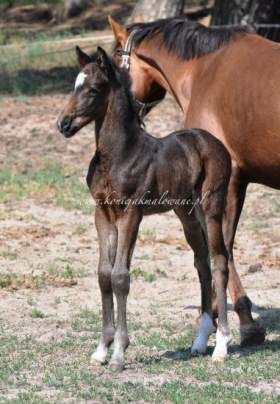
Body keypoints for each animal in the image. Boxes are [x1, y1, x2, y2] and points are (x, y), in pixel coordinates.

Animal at [57, 45, 232, 370]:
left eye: (93, 89)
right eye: (74, 85)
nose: (63, 124)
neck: (118, 155)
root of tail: (214, 142)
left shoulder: (131, 214)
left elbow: (120, 277)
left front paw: (119, 353)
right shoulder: (102, 214)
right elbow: (104, 274)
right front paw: (101, 350)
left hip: (212, 205)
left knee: (218, 260)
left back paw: (222, 346)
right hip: (187, 213)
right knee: (201, 262)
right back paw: (200, 342)